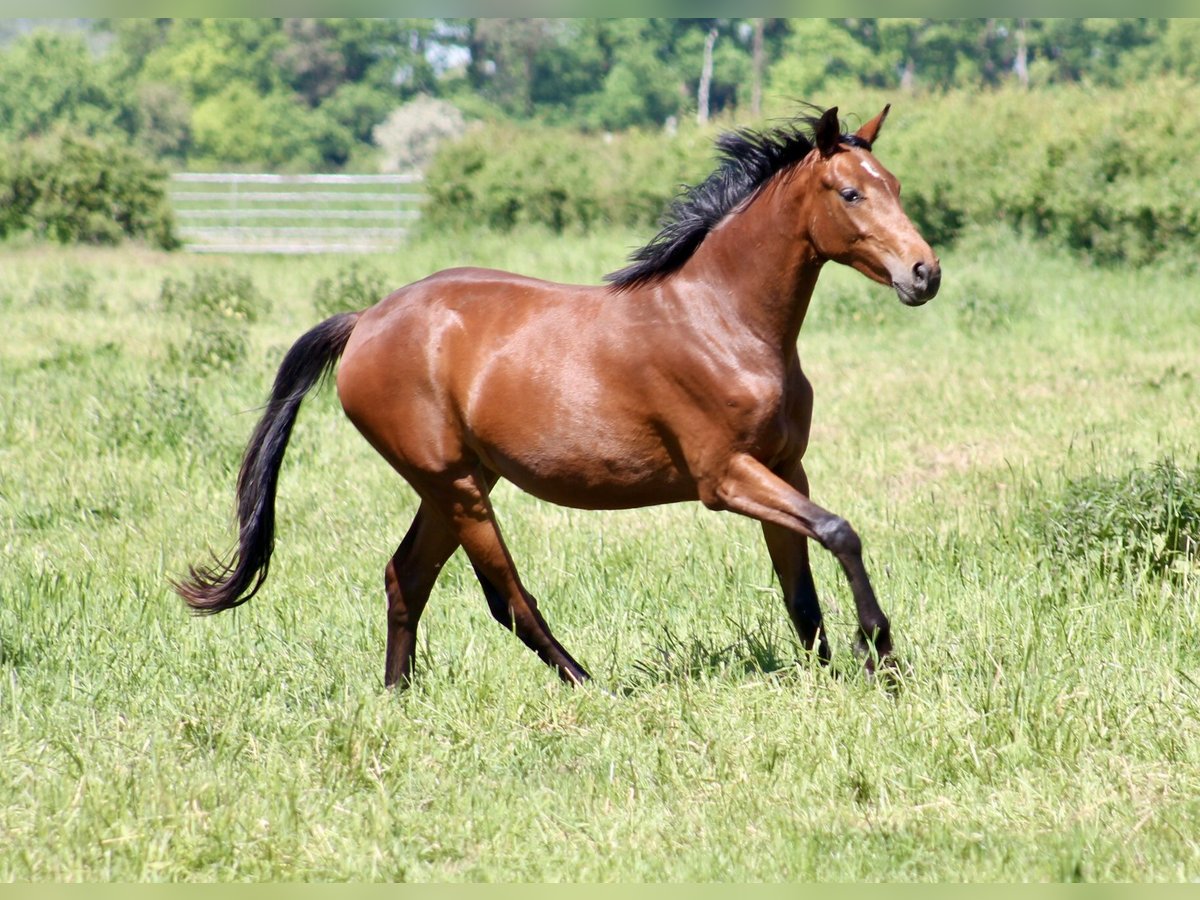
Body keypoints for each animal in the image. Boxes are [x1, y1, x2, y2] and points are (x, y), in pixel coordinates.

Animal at [177, 105, 940, 686]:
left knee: (406, 577)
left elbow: (801, 591)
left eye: (897, 184)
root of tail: (365, 319)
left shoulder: (785, 468)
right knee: (504, 596)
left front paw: (832, 673)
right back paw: (586, 684)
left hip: (454, 484)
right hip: (458, 488)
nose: (923, 273)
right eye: (850, 194)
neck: (725, 321)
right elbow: (840, 531)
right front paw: (880, 654)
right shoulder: (725, 478)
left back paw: (397, 694)